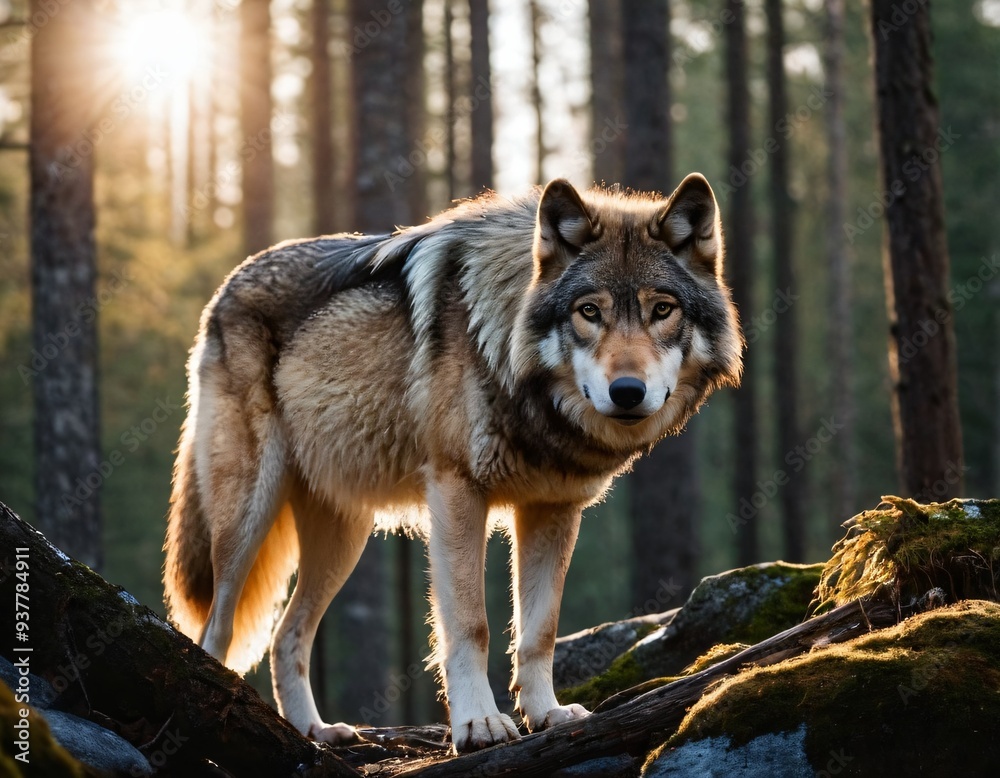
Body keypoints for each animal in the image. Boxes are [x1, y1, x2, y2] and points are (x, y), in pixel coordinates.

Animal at [163, 173, 742, 752]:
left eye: (662, 310)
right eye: (590, 311)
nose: (626, 392)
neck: (504, 349)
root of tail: (229, 282)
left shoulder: (553, 509)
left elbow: (541, 629)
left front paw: (546, 713)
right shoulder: (457, 492)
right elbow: (472, 624)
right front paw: (478, 723)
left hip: (344, 539)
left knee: (287, 634)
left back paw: (315, 731)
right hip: (248, 519)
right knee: (216, 627)